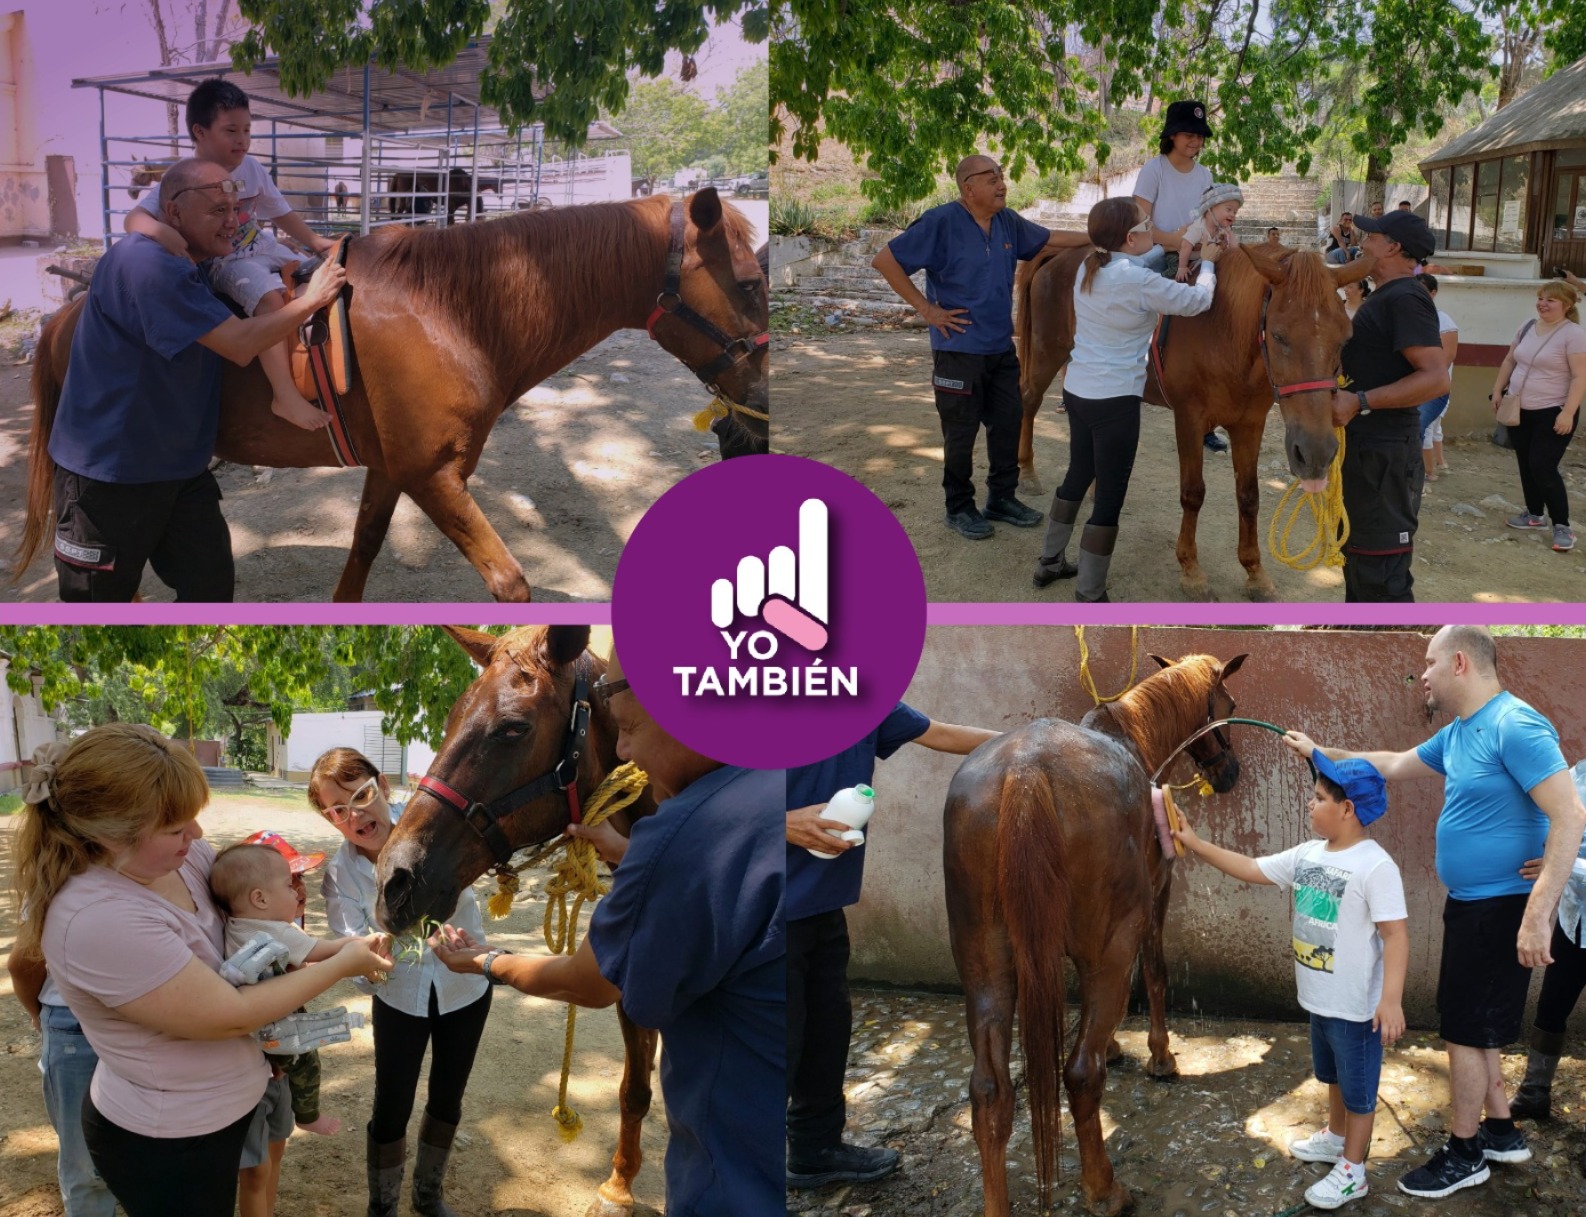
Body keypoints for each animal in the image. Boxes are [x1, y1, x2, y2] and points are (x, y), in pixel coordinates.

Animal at [18, 188, 767, 602]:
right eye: (752, 283)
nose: (759, 406)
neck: (450, 313)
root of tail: (66, 315)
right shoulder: (432, 475)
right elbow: (510, 584)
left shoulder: (392, 470)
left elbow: (361, 558)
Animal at [945, 656, 1243, 1217]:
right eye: (1228, 706)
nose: (1229, 772)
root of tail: (1025, 772)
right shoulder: (1156, 896)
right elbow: (1154, 975)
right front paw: (1159, 1057)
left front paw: (1117, 1046)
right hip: (1109, 947)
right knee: (1081, 1075)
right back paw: (1105, 1190)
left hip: (985, 971)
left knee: (990, 1092)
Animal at [1015, 241, 1376, 602]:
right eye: (1278, 335)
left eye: (1345, 339)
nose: (1316, 453)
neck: (1222, 329)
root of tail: (1063, 253)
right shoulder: (1189, 419)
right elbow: (1193, 493)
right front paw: (1191, 571)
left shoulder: (1249, 425)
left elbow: (1249, 496)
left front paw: (1255, 573)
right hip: (1048, 353)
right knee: (1029, 401)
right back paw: (1028, 473)